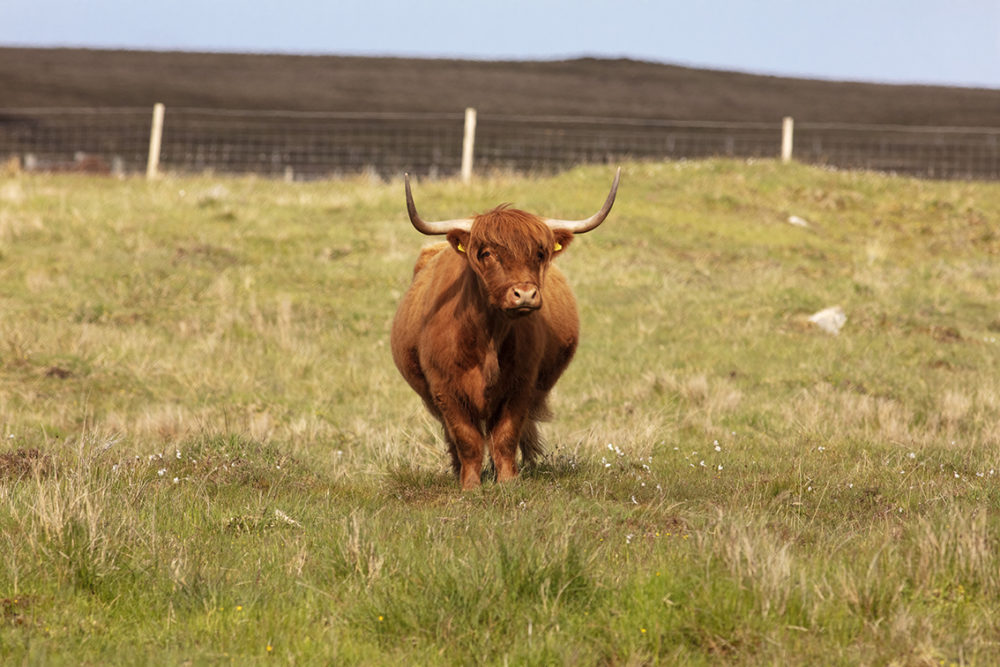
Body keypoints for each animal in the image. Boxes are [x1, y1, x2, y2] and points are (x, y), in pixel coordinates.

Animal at [388, 170, 616, 488]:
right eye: (486, 253)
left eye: (540, 253)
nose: (525, 294)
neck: (488, 338)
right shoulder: (444, 389)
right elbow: (466, 438)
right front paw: (470, 485)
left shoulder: (521, 384)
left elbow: (505, 436)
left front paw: (508, 482)